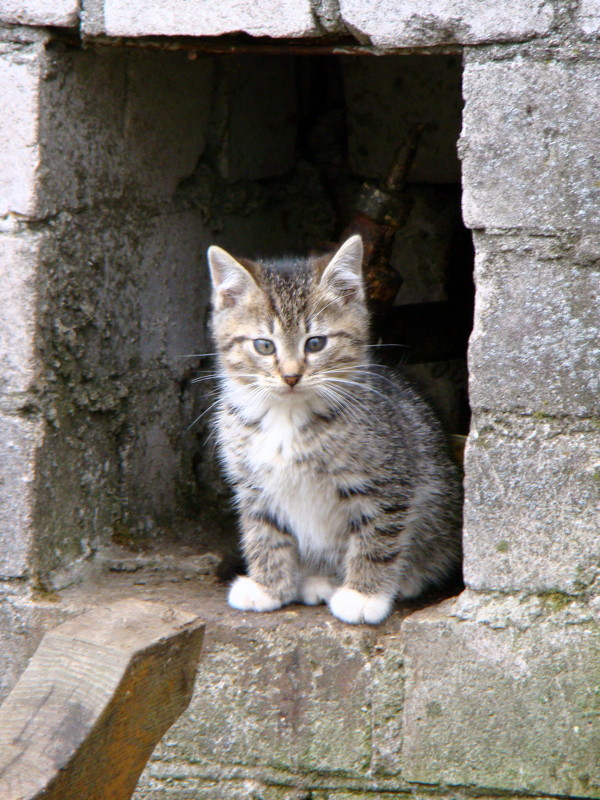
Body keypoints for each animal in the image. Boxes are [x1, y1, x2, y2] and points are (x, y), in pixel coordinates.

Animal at [207, 238, 464, 624]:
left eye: (316, 343)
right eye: (264, 345)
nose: (291, 376)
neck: (288, 417)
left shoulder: (386, 481)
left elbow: (376, 535)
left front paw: (364, 595)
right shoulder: (254, 486)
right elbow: (264, 532)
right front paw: (268, 587)